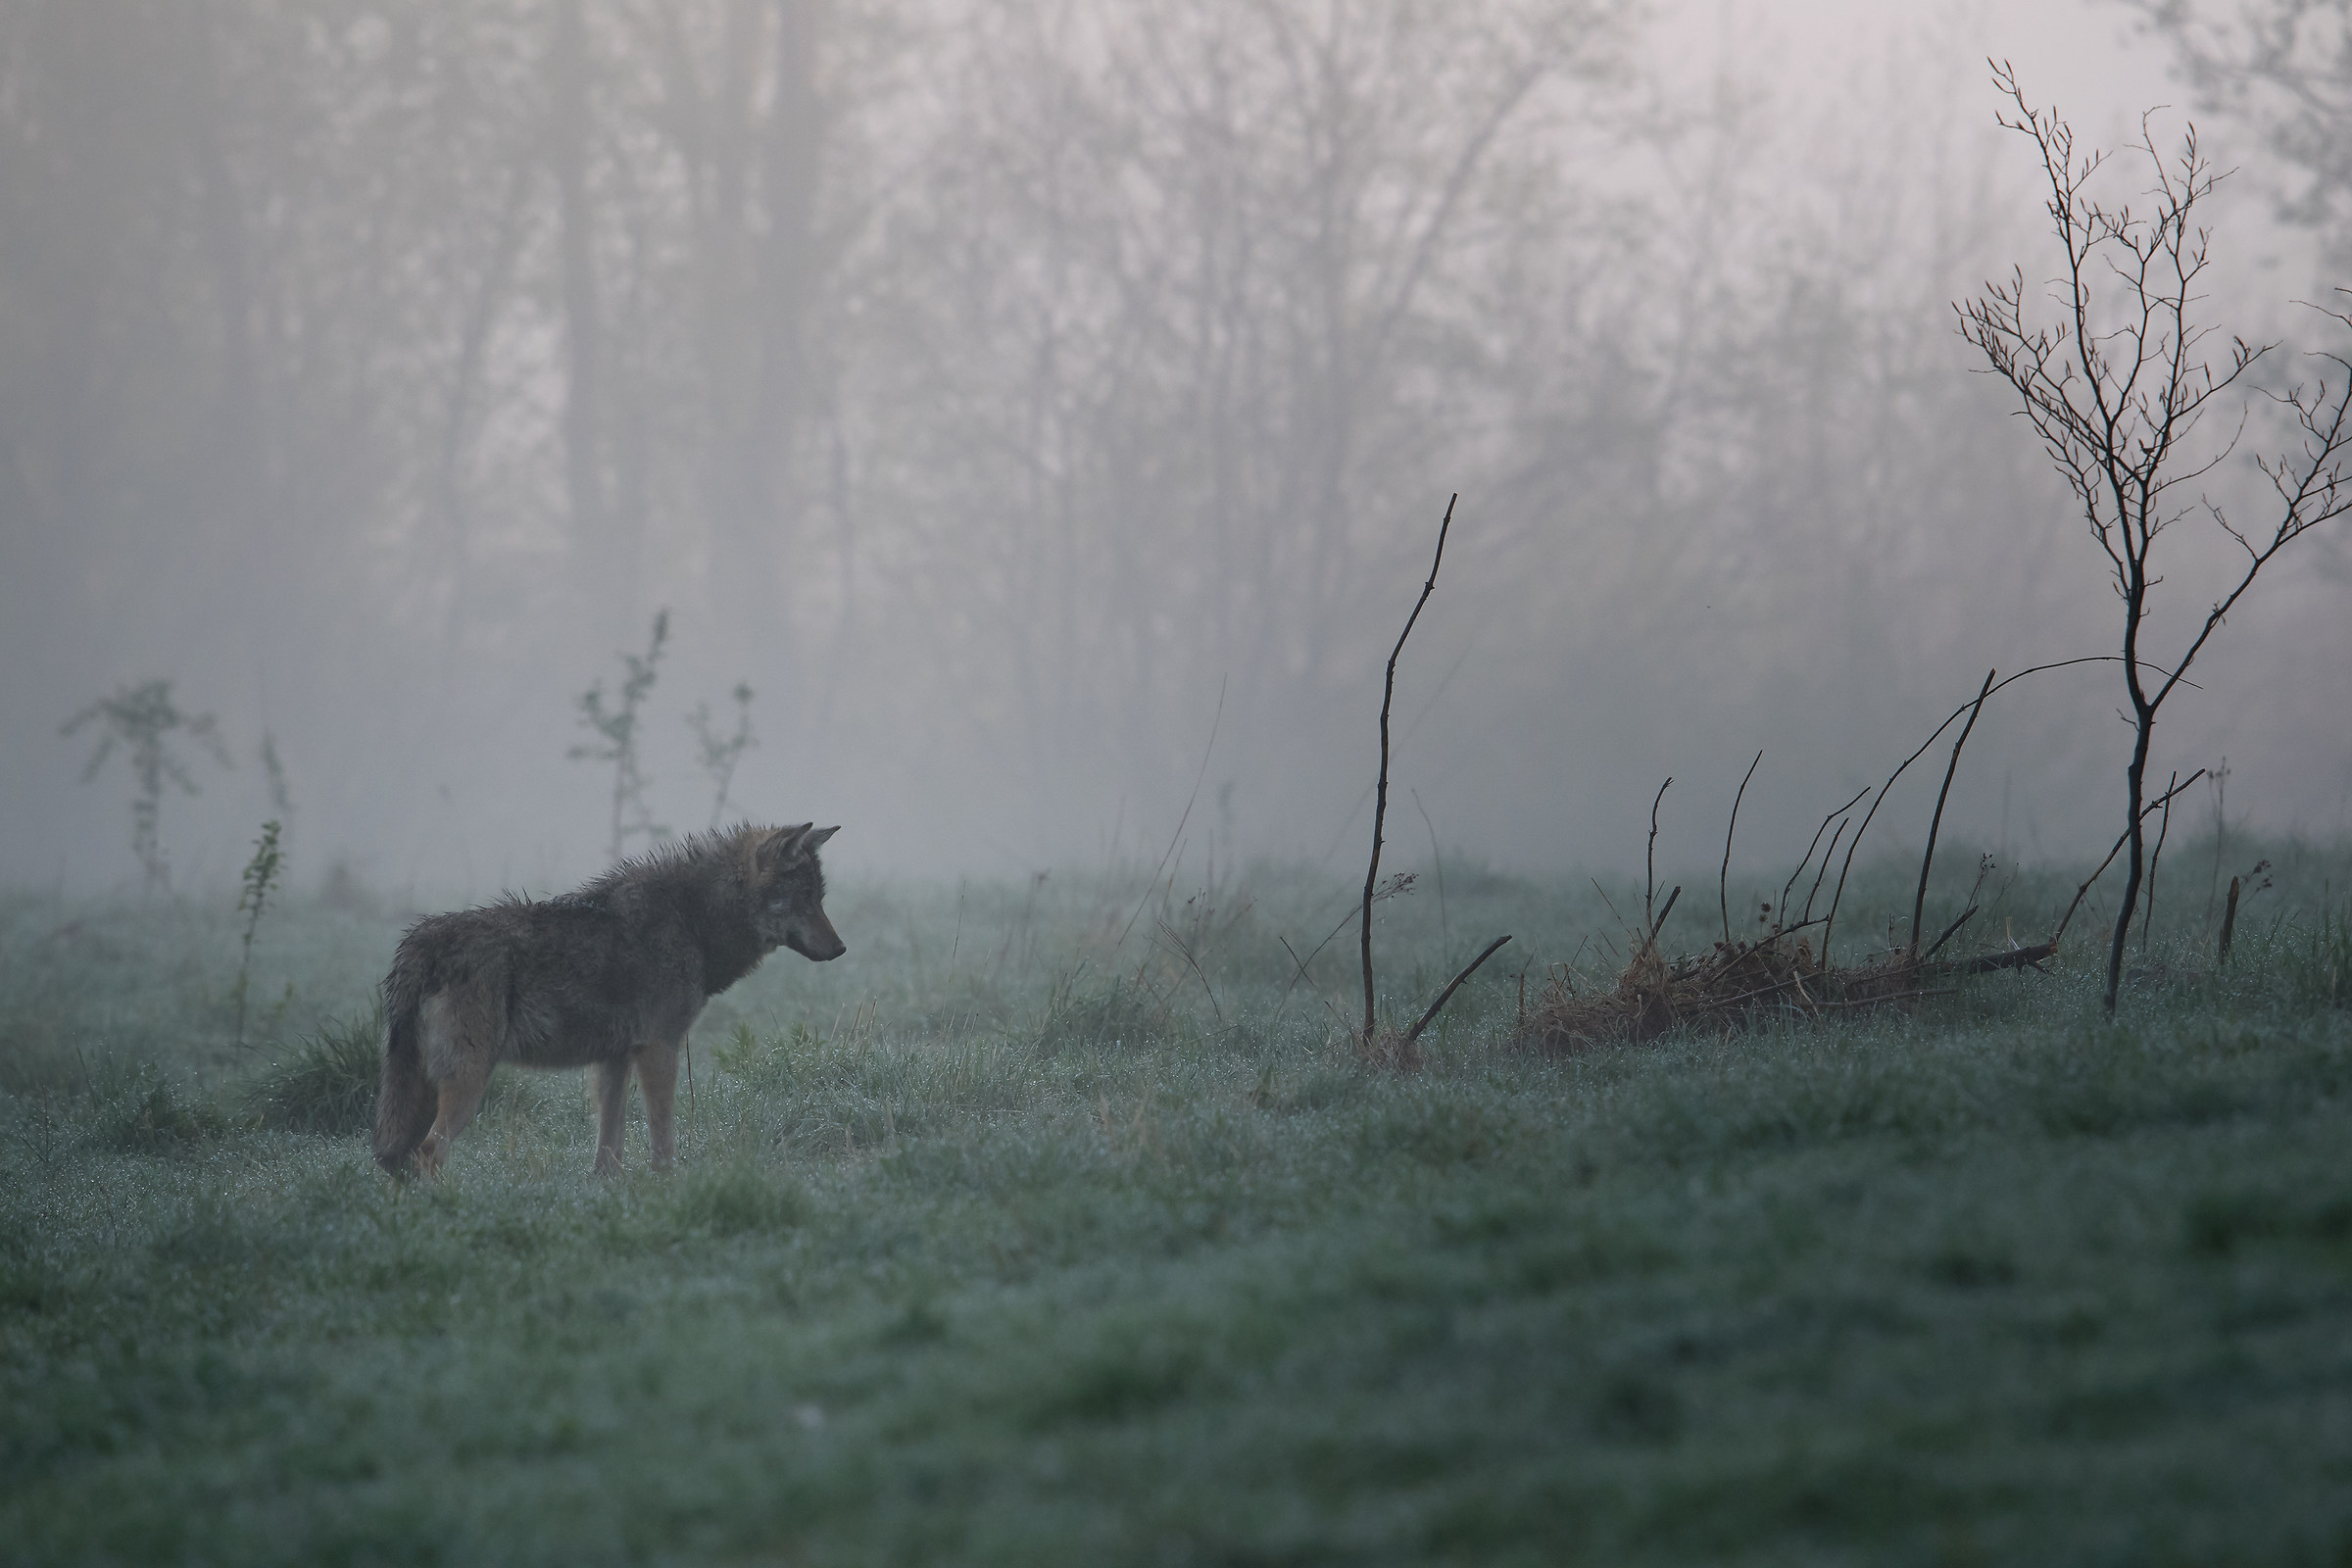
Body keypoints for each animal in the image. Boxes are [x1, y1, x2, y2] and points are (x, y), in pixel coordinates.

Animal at [372, 822, 845, 1177]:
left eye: (820, 899)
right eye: (803, 899)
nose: (840, 949)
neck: (692, 921)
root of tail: (419, 943)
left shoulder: (614, 1059)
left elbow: (608, 1152)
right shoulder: (659, 1048)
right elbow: (662, 1139)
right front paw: (666, 1186)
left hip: (424, 1090)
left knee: (396, 1160)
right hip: (468, 1083)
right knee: (428, 1154)